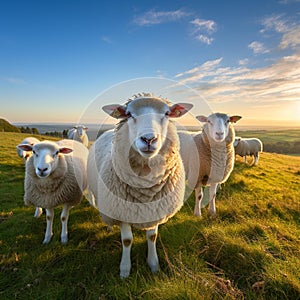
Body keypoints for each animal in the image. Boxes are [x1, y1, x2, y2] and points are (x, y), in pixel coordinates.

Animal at [86, 92, 192, 278]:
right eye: (129, 114)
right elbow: (127, 240)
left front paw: (154, 265)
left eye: (166, 113)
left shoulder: (155, 209)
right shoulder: (122, 212)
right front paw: (125, 270)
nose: (149, 139)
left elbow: (152, 237)